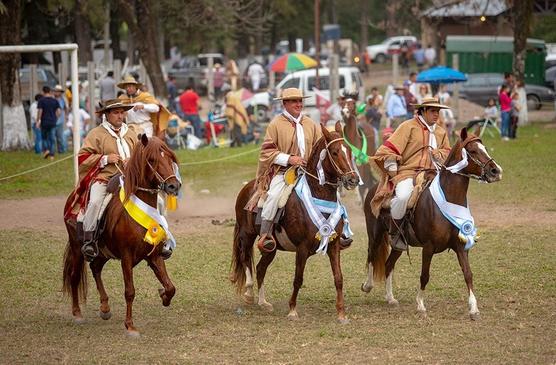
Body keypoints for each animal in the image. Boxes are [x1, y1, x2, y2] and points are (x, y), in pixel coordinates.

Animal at [62, 134, 180, 336]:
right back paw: (77, 313)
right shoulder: (126, 257)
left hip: (103, 252)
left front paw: (163, 296)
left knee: (95, 268)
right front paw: (130, 326)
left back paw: (104, 308)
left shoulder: (154, 256)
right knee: (75, 275)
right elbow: (130, 291)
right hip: (78, 249)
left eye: (170, 157)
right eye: (152, 159)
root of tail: (72, 199)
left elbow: (170, 286)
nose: (174, 185)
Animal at [231, 121, 358, 322]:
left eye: (350, 151)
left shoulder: (334, 244)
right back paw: (249, 294)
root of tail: (249, 186)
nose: (353, 179)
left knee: (260, 268)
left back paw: (263, 302)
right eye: (335, 152)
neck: (318, 195)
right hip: (246, 235)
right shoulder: (302, 248)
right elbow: (298, 279)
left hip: (271, 248)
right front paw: (292, 310)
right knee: (245, 260)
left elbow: (338, 278)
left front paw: (341, 313)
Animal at [358, 129, 506, 318]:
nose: (496, 171)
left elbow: (468, 274)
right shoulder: (428, 247)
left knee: (388, 264)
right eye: (472, 151)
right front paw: (420, 304)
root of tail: (374, 189)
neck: (448, 200)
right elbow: (425, 275)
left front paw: (473, 308)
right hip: (375, 234)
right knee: (371, 255)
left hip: (399, 244)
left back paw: (390, 298)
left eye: (485, 148)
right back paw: (367, 285)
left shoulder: (461, 246)